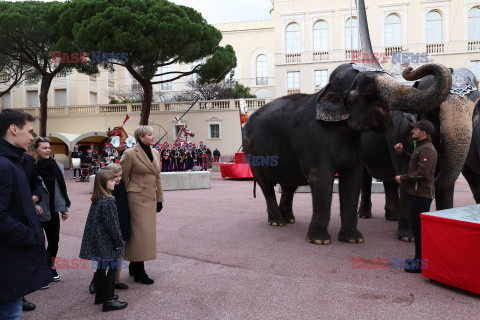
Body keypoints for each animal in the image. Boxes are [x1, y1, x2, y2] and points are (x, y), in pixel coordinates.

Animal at [242, 62, 452, 245]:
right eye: (367, 85)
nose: (409, 70)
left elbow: (353, 179)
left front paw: (353, 240)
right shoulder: (311, 138)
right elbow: (322, 178)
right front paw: (320, 241)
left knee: (288, 185)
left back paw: (289, 219)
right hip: (251, 151)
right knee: (266, 185)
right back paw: (277, 222)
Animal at [358, 69, 478, 241]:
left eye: (476, 109)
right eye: (437, 108)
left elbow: (448, 183)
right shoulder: (401, 133)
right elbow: (408, 171)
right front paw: (407, 237)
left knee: (389, 179)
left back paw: (393, 217)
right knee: (364, 177)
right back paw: (364, 215)